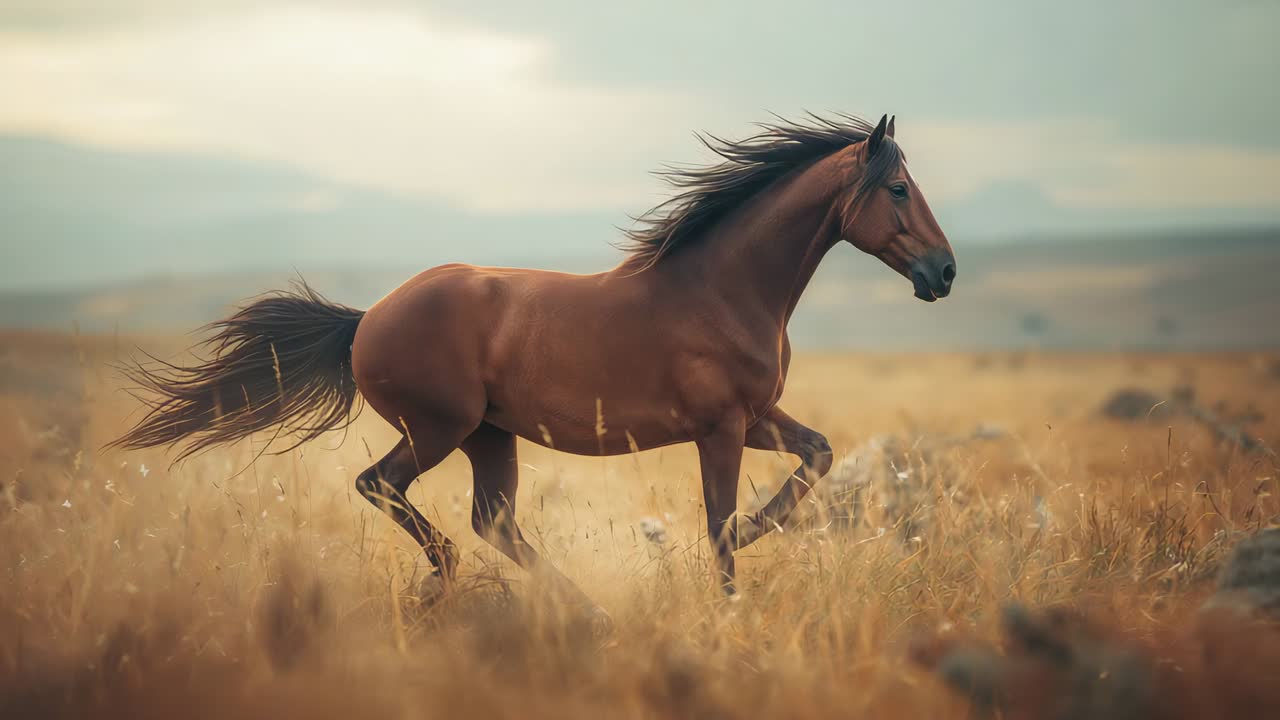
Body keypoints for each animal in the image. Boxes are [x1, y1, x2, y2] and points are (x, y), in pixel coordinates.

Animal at [110, 113, 955, 606]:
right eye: (898, 188)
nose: (943, 273)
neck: (722, 287)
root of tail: (366, 320)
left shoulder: (758, 417)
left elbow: (818, 454)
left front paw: (754, 532)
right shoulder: (720, 428)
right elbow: (717, 525)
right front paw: (727, 599)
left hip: (490, 436)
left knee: (494, 521)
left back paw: (576, 608)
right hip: (439, 429)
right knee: (384, 487)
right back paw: (449, 576)